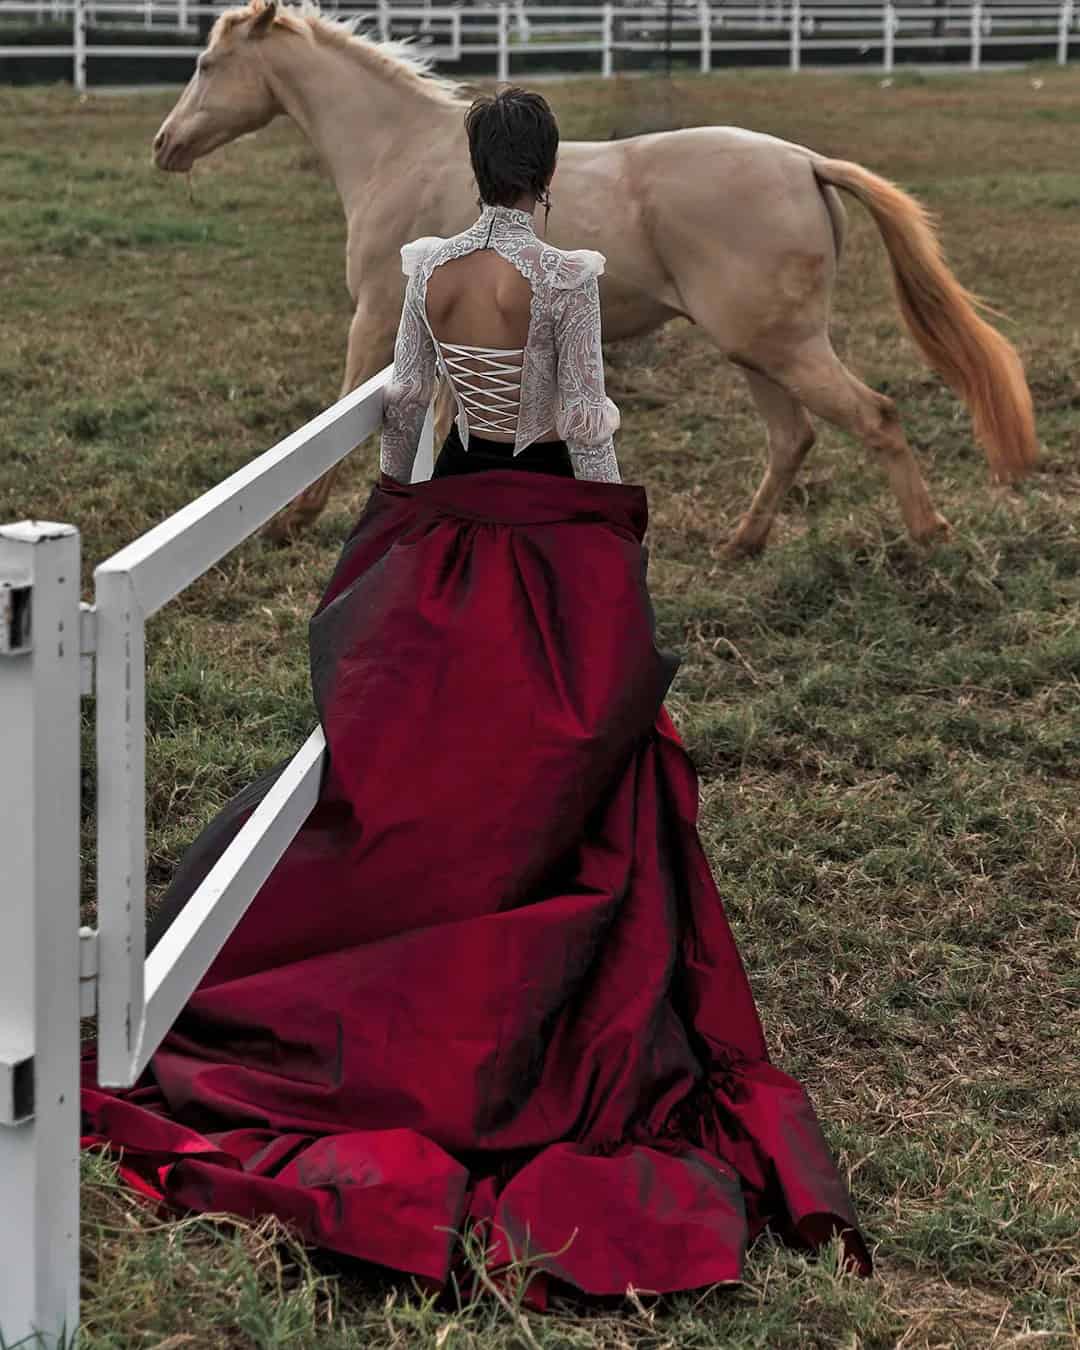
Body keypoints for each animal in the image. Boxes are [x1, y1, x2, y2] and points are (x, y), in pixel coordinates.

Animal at [151, 0, 1036, 553]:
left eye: (206, 62)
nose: (164, 145)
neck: (399, 153)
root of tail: (805, 161)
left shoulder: (379, 315)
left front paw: (290, 521)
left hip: (783, 346)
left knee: (875, 418)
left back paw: (931, 540)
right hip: (759, 349)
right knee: (796, 438)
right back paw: (737, 547)